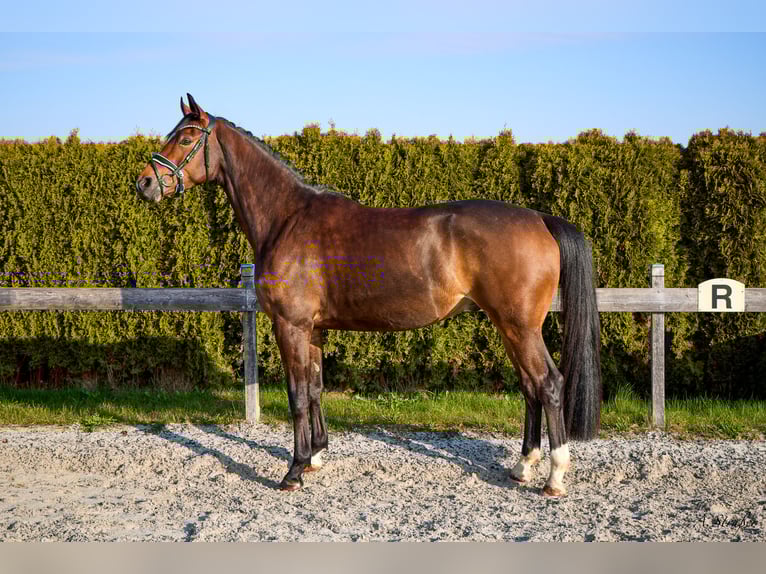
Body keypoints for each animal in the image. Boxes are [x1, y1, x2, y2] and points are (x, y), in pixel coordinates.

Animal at [136, 94, 602, 497]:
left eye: (185, 138)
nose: (144, 183)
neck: (286, 218)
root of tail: (540, 219)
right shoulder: (313, 329)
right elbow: (316, 388)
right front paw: (315, 456)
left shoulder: (291, 326)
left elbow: (296, 395)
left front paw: (293, 471)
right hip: (510, 327)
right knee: (530, 387)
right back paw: (522, 466)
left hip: (519, 326)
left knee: (549, 384)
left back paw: (554, 476)